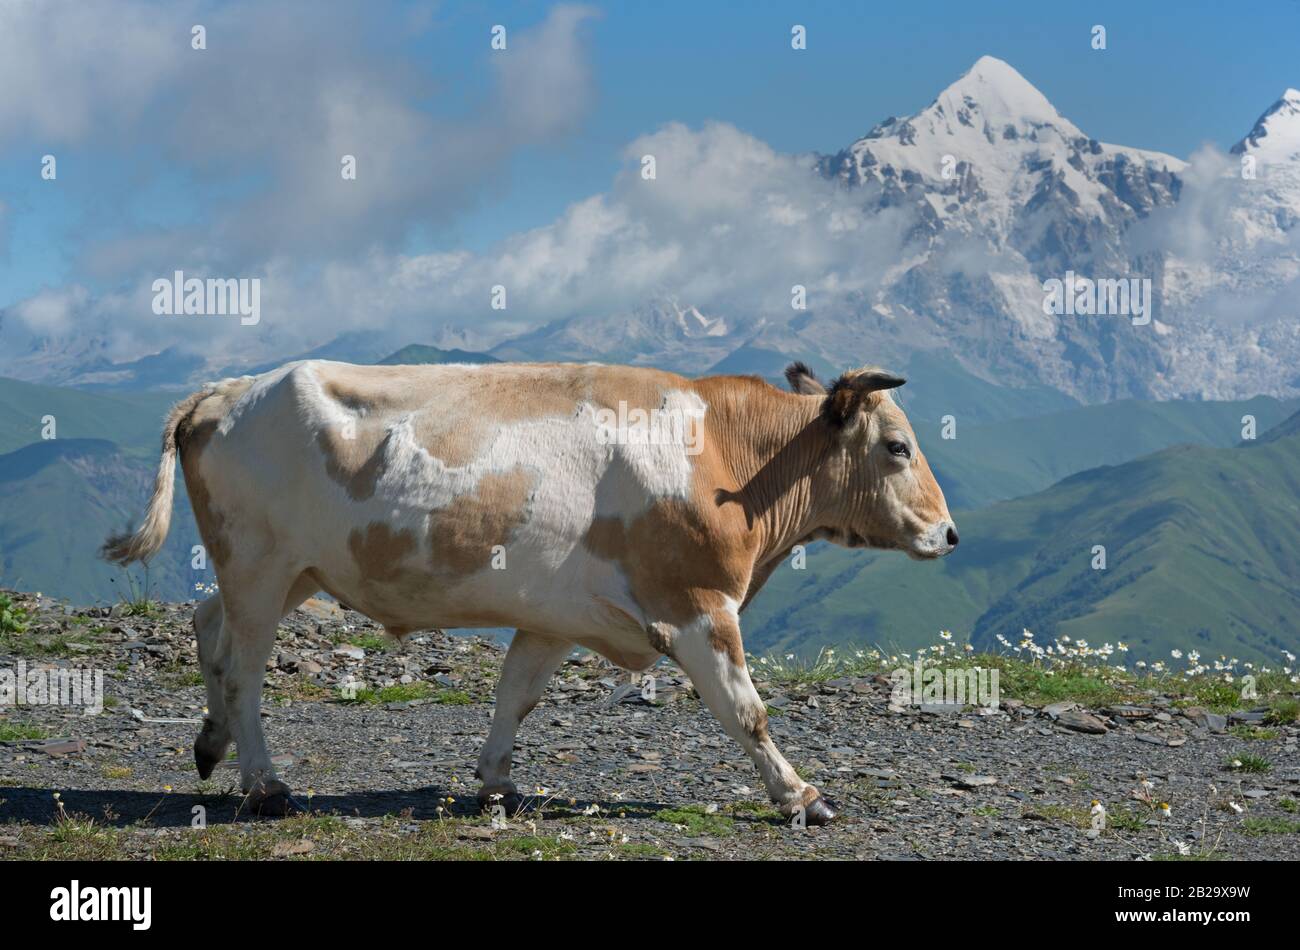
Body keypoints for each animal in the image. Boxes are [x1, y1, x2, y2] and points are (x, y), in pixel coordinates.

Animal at [104, 361, 956, 821]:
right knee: (244, 669)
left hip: (289, 571)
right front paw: (802, 795)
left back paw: (210, 745)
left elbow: (517, 695)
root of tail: (228, 389)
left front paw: (496, 783)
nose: (948, 534)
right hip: (260, 562)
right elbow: (746, 711)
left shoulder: (556, 614)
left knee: (208, 628)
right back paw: (264, 783)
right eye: (896, 446)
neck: (725, 457)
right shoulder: (694, 605)